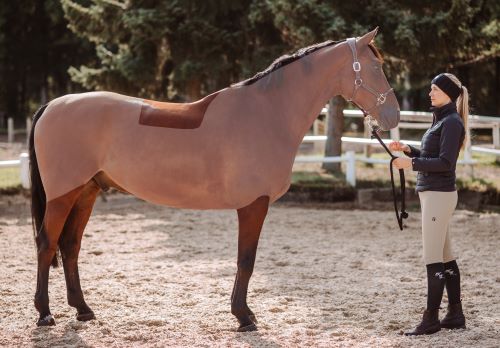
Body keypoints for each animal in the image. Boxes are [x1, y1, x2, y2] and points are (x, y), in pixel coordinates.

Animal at [30, 28, 398, 330]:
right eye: (375, 67)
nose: (393, 115)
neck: (268, 113)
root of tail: (52, 105)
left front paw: (243, 313)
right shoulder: (254, 205)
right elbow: (246, 261)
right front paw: (244, 316)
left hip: (86, 192)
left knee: (70, 246)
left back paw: (83, 310)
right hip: (63, 194)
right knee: (47, 244)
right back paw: (45, 313)